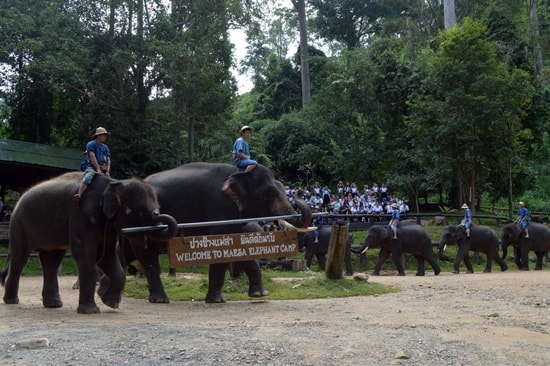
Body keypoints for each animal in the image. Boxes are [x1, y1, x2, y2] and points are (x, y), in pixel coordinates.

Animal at [0, 172, 177, 314]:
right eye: (142, 211)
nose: (157, 215)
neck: (114, 183)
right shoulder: (82, 214)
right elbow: (85, 254)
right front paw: (90, 311)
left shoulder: (107, 226)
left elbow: (106, 257)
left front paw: (110, 303)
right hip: (18, 224)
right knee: (20, 259)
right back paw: (12, 301)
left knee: (51, 259)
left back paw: (53, 304)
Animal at [126, 162, 314, 304]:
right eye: (272, 193)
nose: (300, 191)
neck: (239, 173)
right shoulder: (220, 205)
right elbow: (223, 244)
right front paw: (217, 300)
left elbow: (238, 247)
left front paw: (260, 295)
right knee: (147, 254)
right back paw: (159, 299)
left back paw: (157, 298)